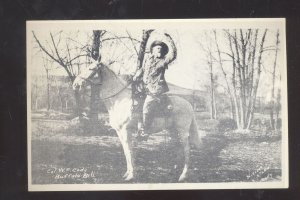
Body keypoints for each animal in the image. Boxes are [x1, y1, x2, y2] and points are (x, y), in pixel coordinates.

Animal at [73, 61, 202, 182]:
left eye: (91, 68)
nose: (75, 84)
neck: (119, 100)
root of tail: (189, 104)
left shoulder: (126, 131)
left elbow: (129, 152)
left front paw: (131, 175)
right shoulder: (119, 132)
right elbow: (126, 152)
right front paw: (127, 173)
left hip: (182, 131)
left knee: (187, 149)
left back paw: (183, 175)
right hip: (173, 131)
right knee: (178, 148)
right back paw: (174, 170)